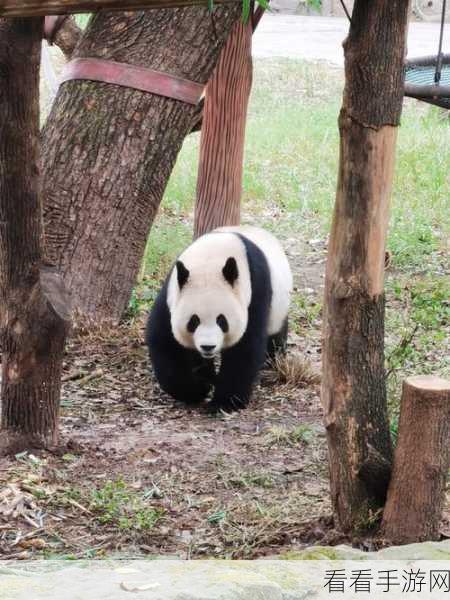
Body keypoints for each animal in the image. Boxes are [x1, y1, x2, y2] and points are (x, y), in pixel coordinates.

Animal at [146, 225, 294, 412]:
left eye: (222, 321)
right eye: (193, 321)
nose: (208, 346)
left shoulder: (255, 290)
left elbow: (245, 347)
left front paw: (224, 403)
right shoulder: (171, 293)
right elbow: (165, 342)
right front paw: (198, 389)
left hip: (279, 306)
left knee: (275, 335)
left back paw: (272, 360)